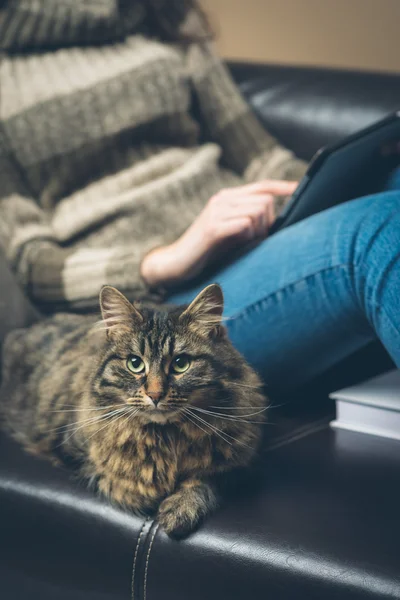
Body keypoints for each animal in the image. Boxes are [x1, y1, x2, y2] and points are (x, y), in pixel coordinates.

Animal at [0, 284, 266, 536]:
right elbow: (110, 477)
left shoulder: (239, 464)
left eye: (181, 364)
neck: (165, 437)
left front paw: (180, 508)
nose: (155, 395)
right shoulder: (71, 449)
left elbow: (202, 481)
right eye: (135, 364)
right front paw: (146, 495)